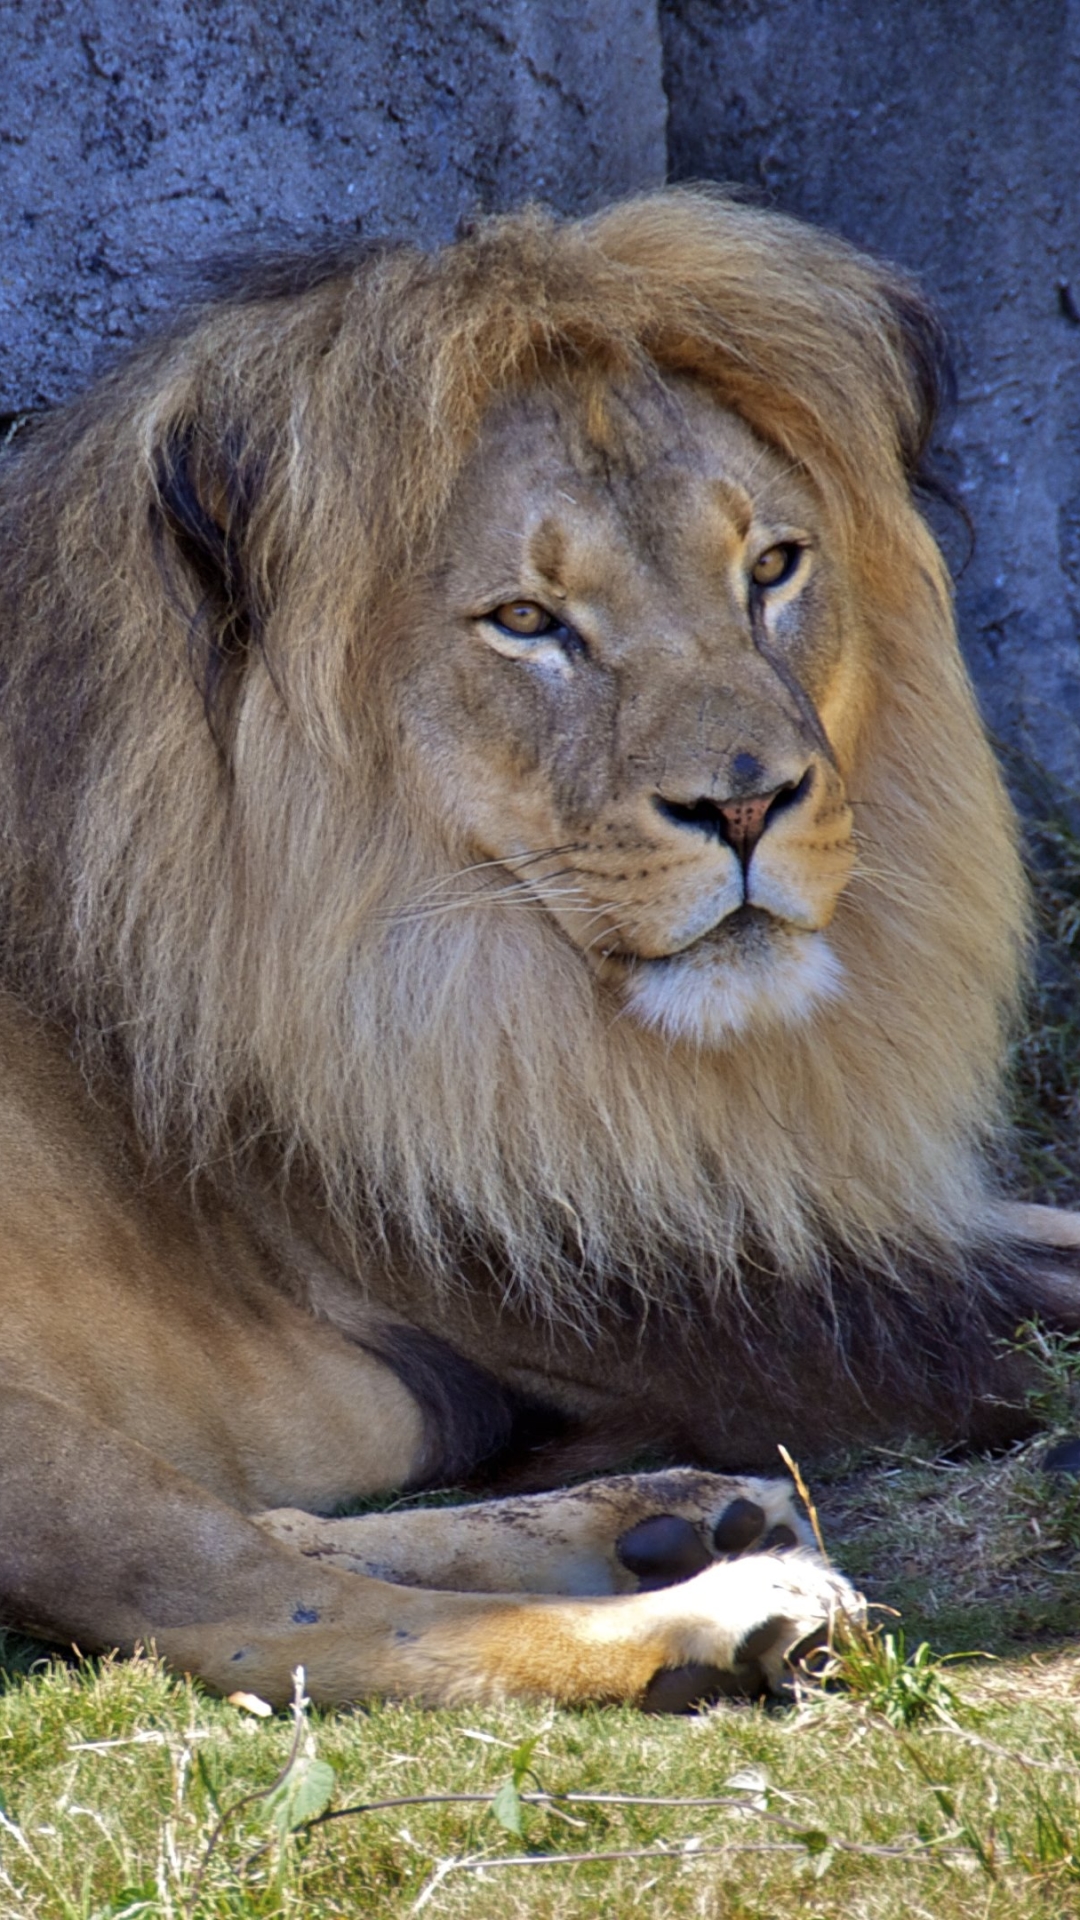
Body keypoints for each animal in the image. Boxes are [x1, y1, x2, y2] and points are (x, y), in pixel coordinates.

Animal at [2, 187, 1076, 1704]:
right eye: (526, 621)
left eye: (772, 568)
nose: (747, 803)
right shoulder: (634, 1295)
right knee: (258, 1603)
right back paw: (722, 1613)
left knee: (282, 1534)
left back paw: (673, 1518)